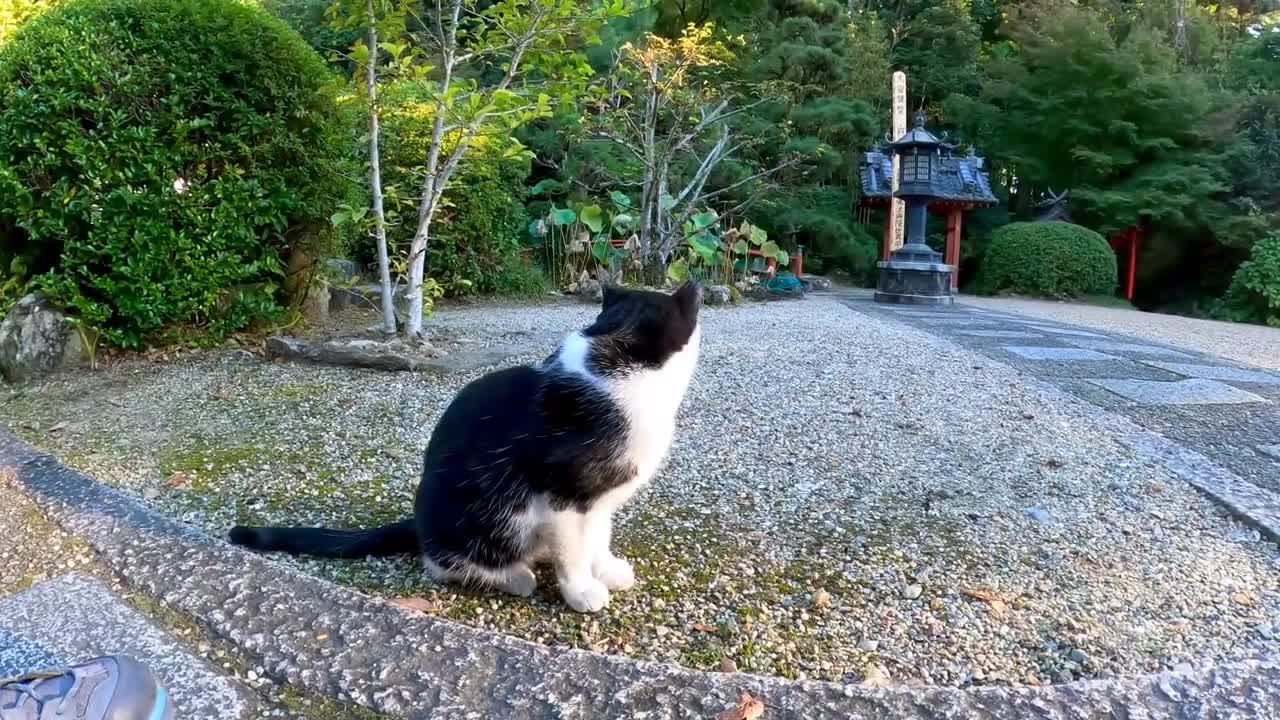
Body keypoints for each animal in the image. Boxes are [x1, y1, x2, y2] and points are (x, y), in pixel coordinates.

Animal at [230, 280, 701, 609]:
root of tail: (418, 522)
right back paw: (515, 576)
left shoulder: (600, 497)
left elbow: (598, 535)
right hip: (475, 522)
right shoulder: (564, 495)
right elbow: (572, 551)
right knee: (442, 563)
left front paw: (605, 569)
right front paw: (582, 590)